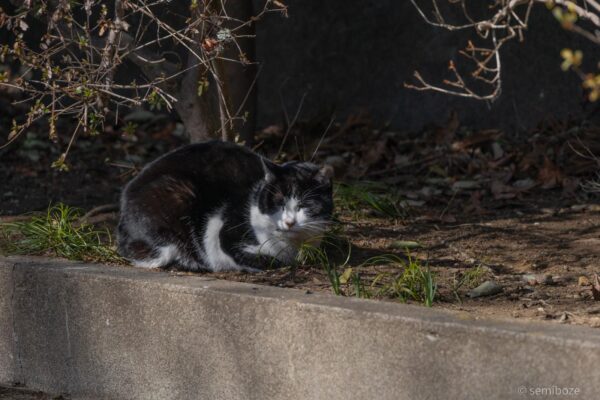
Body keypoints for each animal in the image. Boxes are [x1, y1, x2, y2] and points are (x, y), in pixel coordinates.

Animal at [117, 140, 332, 272]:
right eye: (278, 202)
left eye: (304, 205)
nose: (288, 222)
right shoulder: (225, 233)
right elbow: (267, 260)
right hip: (175, 198)